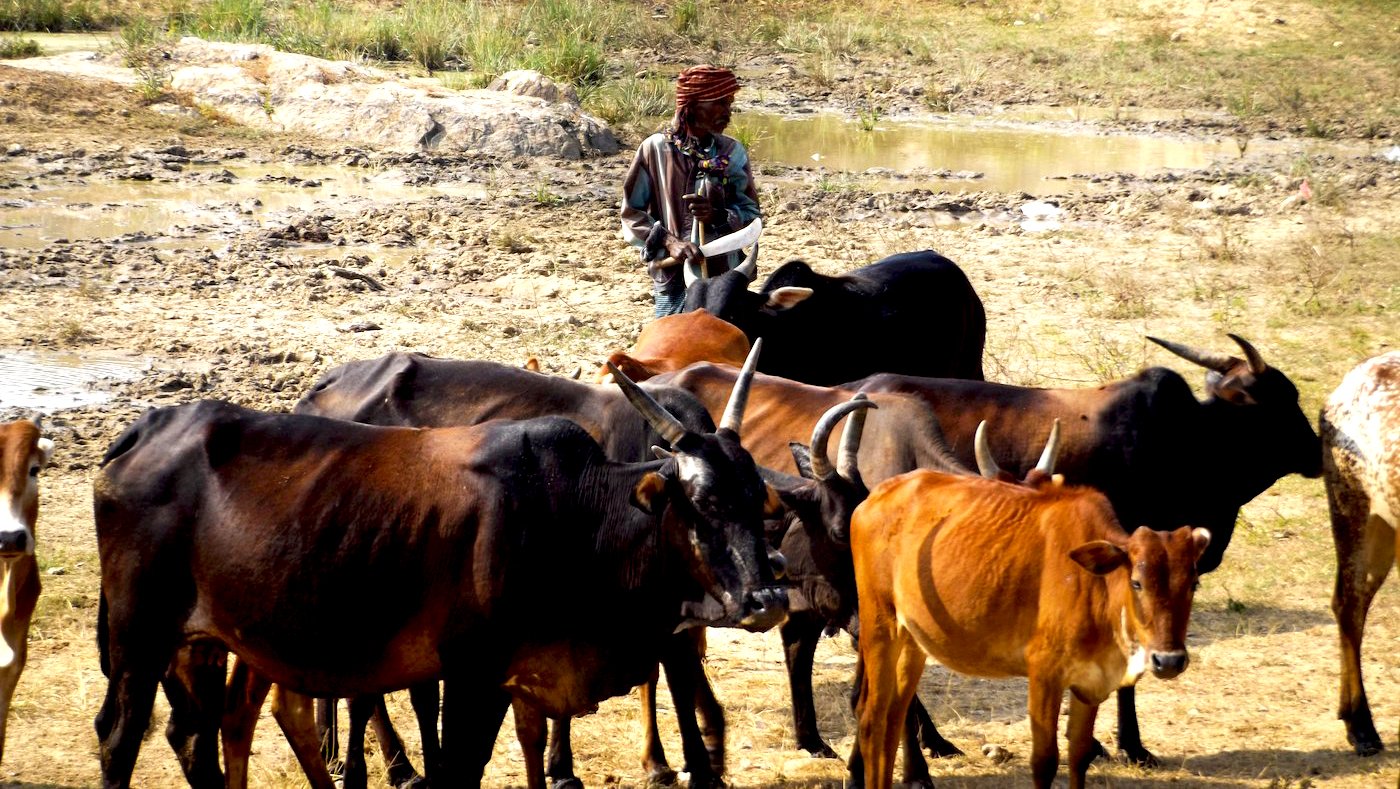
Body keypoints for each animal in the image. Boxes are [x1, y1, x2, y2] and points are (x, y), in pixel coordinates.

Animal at [91, 369, 784, 789]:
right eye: (705, 501)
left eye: (757, 499)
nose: (768, 596)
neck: (571, 511)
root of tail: (148, 428)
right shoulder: (470, 672)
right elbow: (456, 766)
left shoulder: (510, 679)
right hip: (139, 640)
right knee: (120, 737)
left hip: (200, 644)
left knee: (194, 735)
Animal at [845, 430, 1209, 789]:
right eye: (1137, 582)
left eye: (1193, 584)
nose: (1169, 660)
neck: (1095, 583)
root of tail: (875, 496)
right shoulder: (1045, 674)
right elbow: (1045, 761)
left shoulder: (1090, 682)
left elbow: (1079, 754)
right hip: (880, 627)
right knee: (872, 720)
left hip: (912, 642)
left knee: (893, 719)